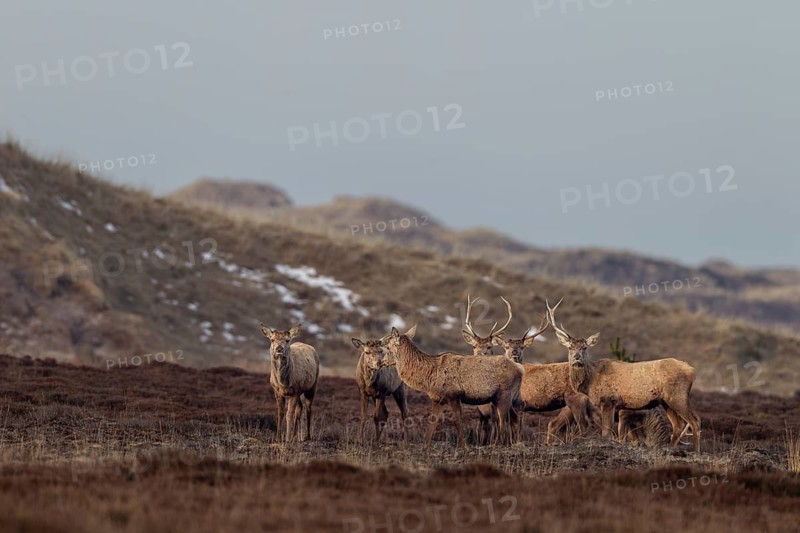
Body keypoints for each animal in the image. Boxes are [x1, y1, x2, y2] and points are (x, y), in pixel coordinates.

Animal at [380, 325, 523, 447]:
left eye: (388, 347)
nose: (382, 362)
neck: (428, 378)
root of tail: (520, 369)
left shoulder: (454, 395)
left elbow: (457, 420)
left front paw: (463, 445)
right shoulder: (438, 399)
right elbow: (433, 421)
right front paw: (425, 445)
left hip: (505, 393)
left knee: (503, 419)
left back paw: (497, 444)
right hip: (500, 398)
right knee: (511, 418)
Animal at [546, 301, 702, 452]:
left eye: (585, 347)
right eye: (570, 347)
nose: (577, 358)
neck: (590, 382)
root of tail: (692, 370)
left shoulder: (609, 401)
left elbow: (607, 433)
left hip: (677, 396)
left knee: (694, 421)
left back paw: (696, 451)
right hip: (666, 401)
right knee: (679, 425)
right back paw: (671, 450)